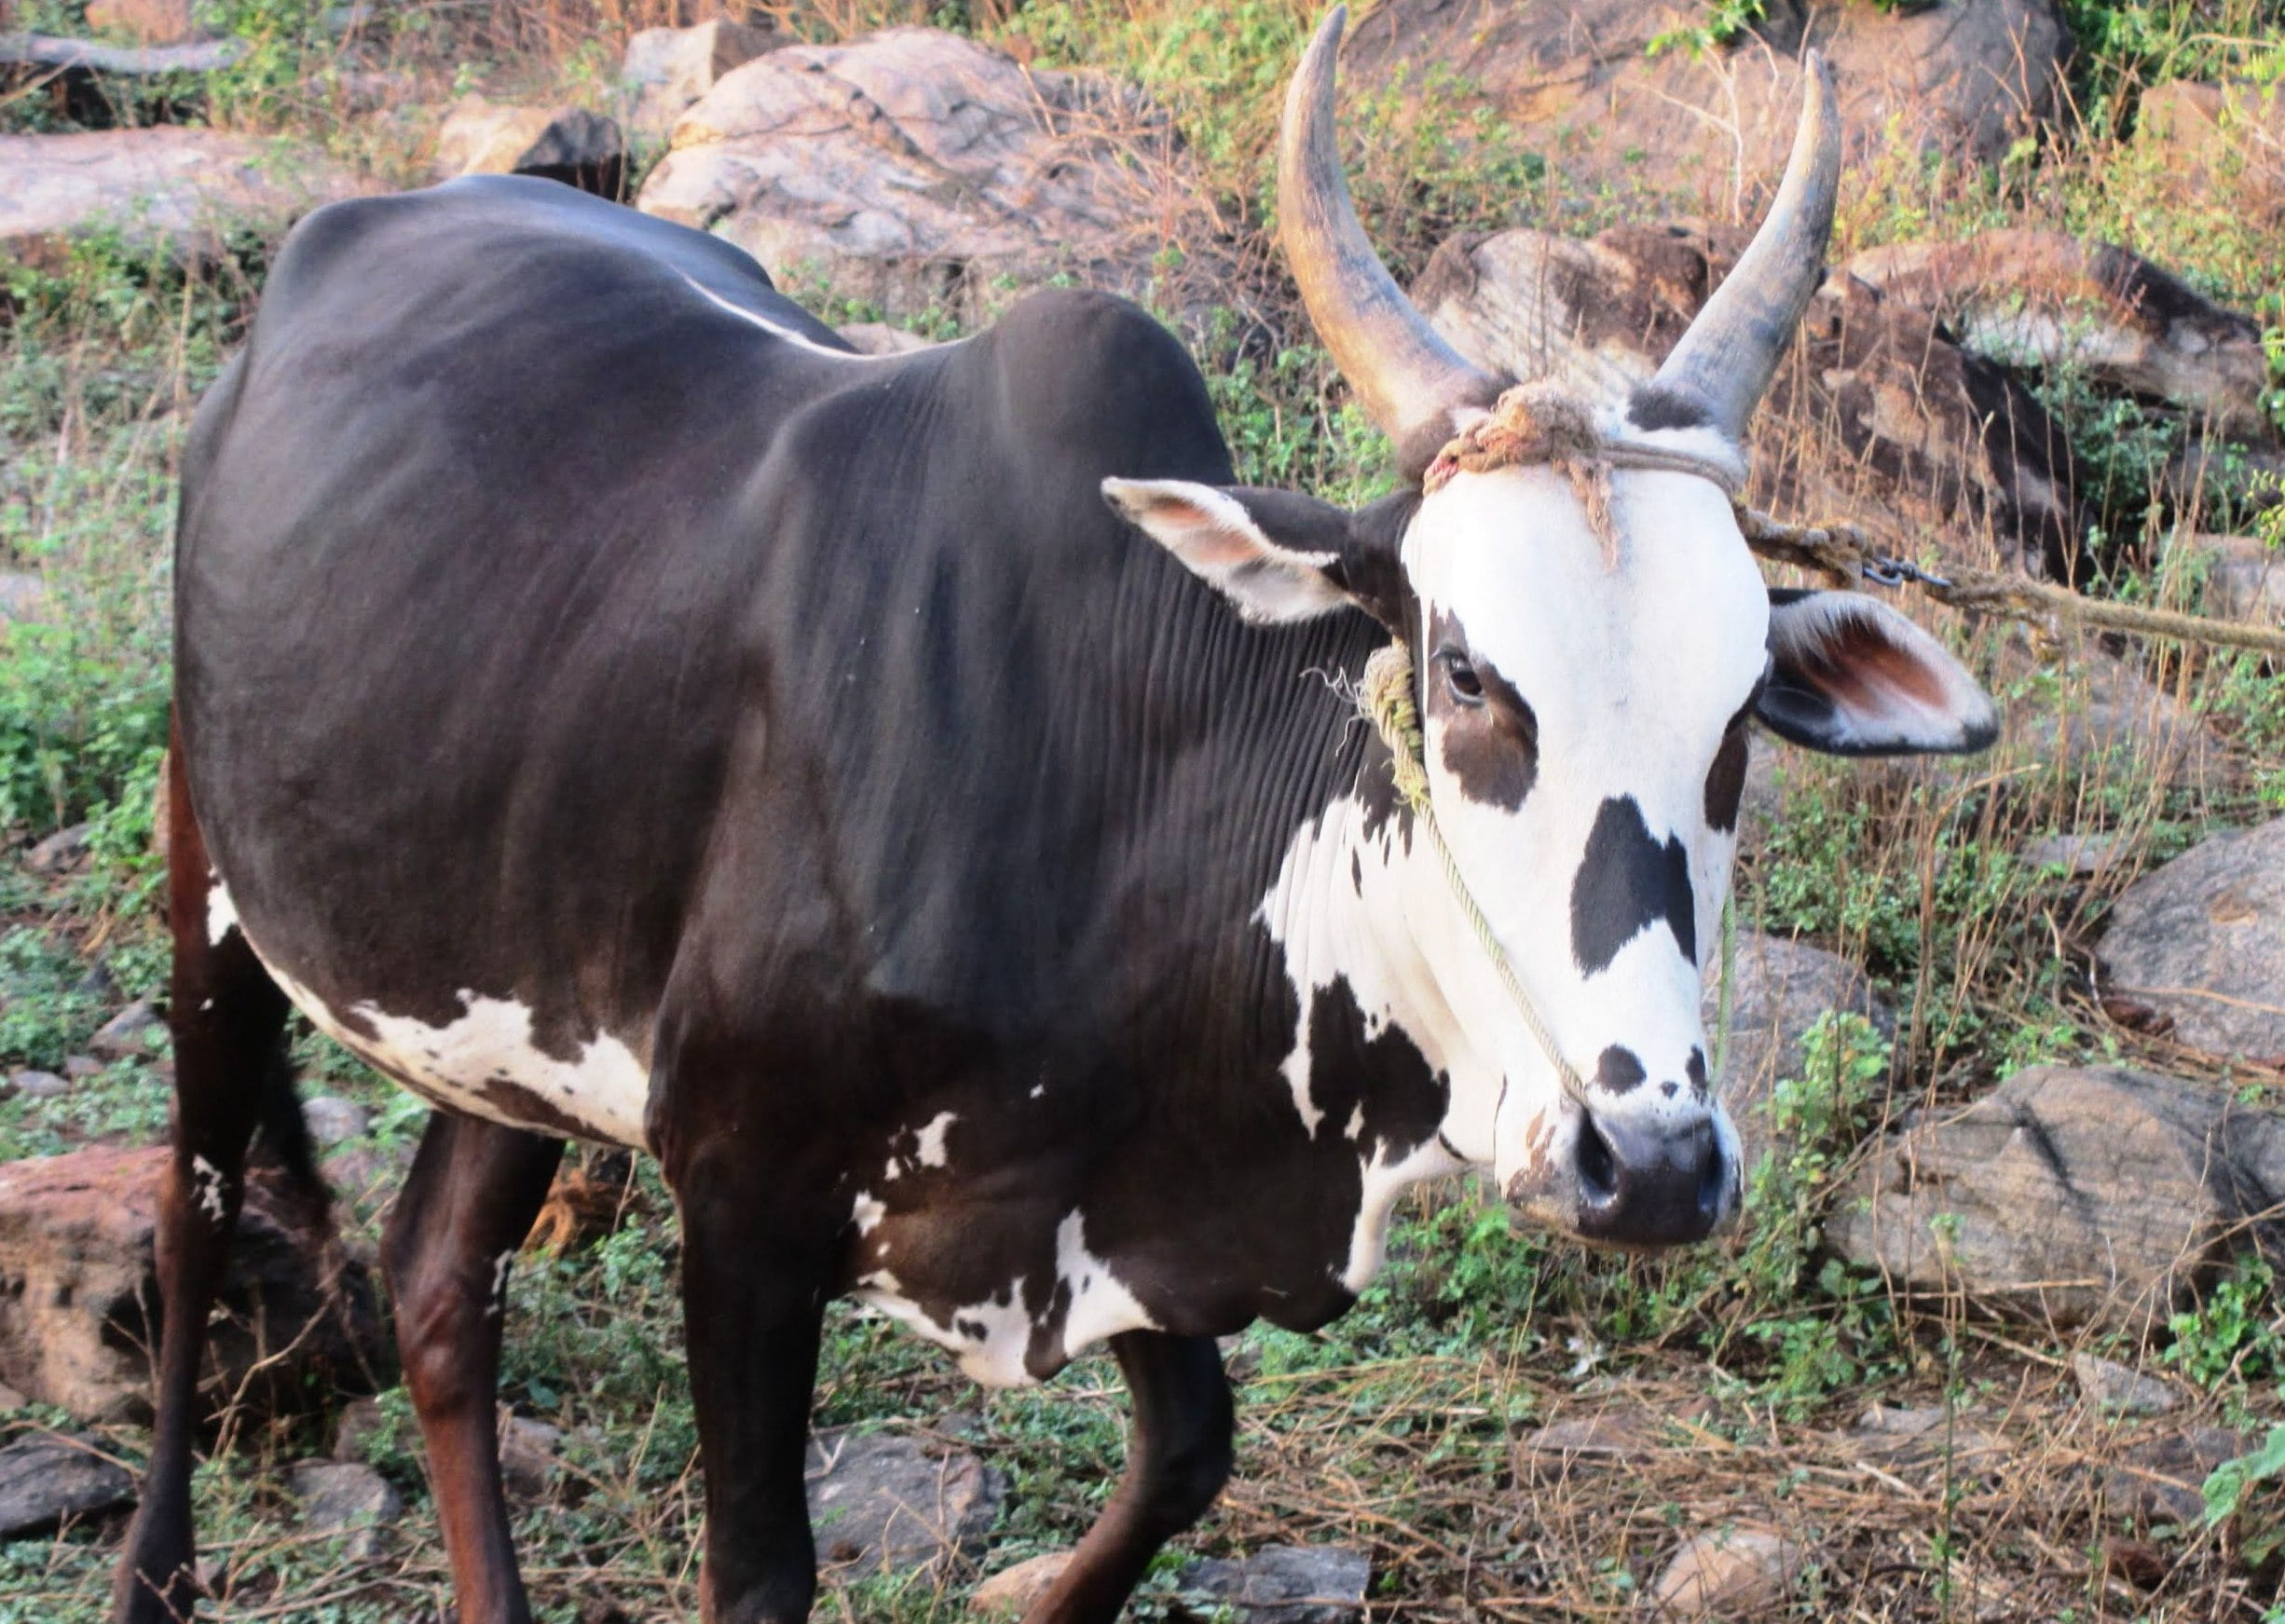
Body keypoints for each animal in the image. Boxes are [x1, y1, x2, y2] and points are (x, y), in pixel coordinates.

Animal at [116, 12, 1992, 1624]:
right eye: (1463, 669)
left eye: (1741, 710)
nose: (1652, 1161)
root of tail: (354, 234)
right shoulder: (738, 1199)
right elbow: (761, 1574)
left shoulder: (1103, 1200)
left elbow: (1184, 1457)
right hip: (211, 883)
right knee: (197, 1219)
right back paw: (157, 1563)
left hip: (507, 1004)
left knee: (441, 1283)